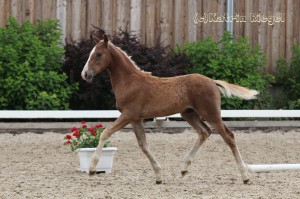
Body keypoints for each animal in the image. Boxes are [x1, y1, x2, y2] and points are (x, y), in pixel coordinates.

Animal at [81, 35, 258, 184]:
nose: (85, 74)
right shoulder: (136, 119)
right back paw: (184, 168)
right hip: (189, 114)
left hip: (210, 113)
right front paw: (159, 175)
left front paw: (92, 168)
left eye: (98, 54)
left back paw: (245, 176)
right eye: (90, 53)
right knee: (204, 132)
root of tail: (213, 82)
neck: (130, 81)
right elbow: (143, 145)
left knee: (229, 136)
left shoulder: (128, 115)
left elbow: (106, 132)